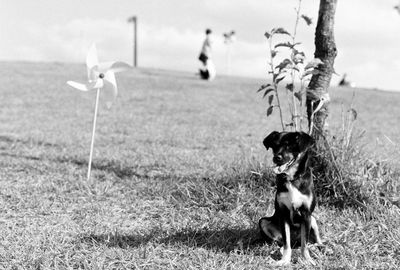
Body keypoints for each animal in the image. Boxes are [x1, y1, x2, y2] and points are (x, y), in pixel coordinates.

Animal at [260, 131, 322, 266]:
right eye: (275, 146)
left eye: (289, 146)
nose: (276, 158)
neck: (292, 179)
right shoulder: (283, 214)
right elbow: (286, 243)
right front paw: (284, 260)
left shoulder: (306, 214)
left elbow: (305, 244)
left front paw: (307, 259)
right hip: (263, 221)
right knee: (284, 243)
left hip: (313, 220)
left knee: (314, 241)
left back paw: (322, 247)